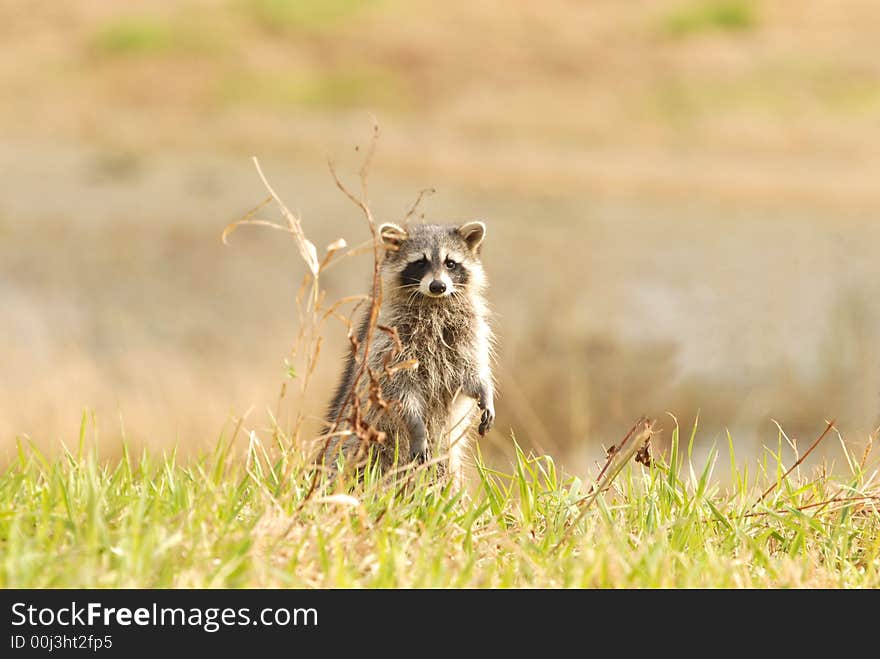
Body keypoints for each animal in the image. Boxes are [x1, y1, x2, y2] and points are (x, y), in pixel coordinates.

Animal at [324, 222, 496, 484]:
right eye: (420, 262)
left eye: (450, 263)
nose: (438, 286)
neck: (433, 303)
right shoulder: (389, 342)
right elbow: (398, 389)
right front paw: (416, 426)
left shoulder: (466, 334)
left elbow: (468, 374)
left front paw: (484, 391)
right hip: (358, 440)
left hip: (444, 457)